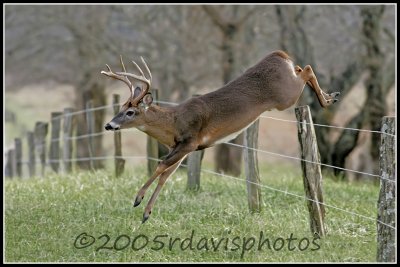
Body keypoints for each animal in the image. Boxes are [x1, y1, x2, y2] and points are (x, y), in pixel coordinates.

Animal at [101, 50, 340, 224]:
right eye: (121, 107)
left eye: (131, 112)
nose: (108, 125)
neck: (173, 122)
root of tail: (279, 54)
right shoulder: (179, 147)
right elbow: (165, 175)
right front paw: (146, 213)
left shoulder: (190, 141)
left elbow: (161, 166)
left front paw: (137, 199)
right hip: (288, 89)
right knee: (302, 68)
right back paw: (331, 96)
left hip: (285, 97)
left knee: (307, 69)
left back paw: (328, 99)